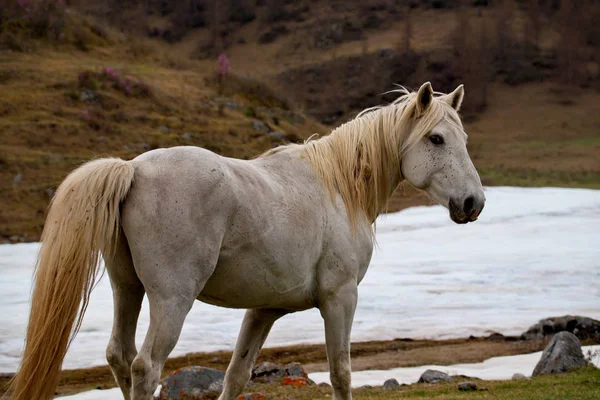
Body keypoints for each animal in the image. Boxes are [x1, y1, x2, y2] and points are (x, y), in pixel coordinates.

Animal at [11, 82, 486, 400]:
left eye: (463, 139)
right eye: (436, 138)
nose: (473, 202)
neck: (338, 188)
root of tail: (133, 170)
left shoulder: (263, 310)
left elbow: (237, 375)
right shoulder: (340, 298)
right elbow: (341, 373)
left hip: (126, 288)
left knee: (119, 357)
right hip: (171, 299)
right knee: (146, 366)